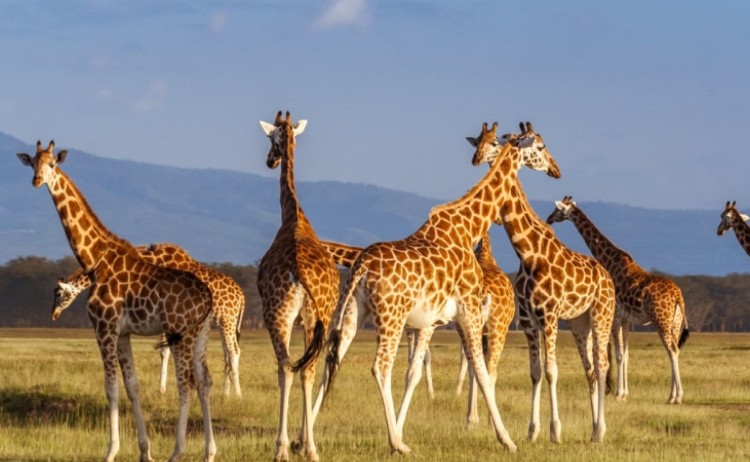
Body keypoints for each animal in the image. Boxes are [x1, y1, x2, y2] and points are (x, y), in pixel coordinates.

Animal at [17, 141, 216, 462]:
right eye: (33, 162)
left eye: (52, 165)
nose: (36, 181)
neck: (94, 259)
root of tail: (208, 298)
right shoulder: (122, 333)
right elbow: (132, 386)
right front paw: (145, 452)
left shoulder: (104, 327)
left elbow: (110, 387)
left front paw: (110, 452)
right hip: (201, 335)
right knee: (204, 381)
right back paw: (210, 452)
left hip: (180, 334)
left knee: (186, 384)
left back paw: (177, 452)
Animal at [52, 242, 246, 397]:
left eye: (59, 293)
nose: (54, 315)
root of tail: (241, 297)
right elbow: (164, 351)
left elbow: (164, 351)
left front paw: (162, 389)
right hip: (221, 322)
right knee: (227, 354)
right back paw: (225, 393)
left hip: (227, 319)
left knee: (234, 351)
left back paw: (237, 394)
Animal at [299, 121, 563, 456]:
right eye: (540, 146)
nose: (555, 169)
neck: (469, 228)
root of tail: (361, 267)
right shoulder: (468, 309)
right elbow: (482, 372)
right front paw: (507, 440)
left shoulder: (429, 321)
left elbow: (415, 373)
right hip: (393, 316)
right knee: (380, 367)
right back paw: (397, 444)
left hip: (352, 313)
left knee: (329, 362)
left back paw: (306, 444)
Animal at [471, 123, 616, 443]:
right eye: (480, 141)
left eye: (540, 145)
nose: (556, 169)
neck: (527, 252)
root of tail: (608, 277)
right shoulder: (529, 320)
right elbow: (536, 372)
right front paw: (532, 431)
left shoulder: (548, 315)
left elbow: (552, 371)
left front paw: (555, 431)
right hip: (579, 322)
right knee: (590, 369)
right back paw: (592, 428)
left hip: (602, 315)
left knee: (601, 365)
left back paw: (601, 430)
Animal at [547, 196, 689, 403]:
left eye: (558, 210)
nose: (548, 219)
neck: (610, 261)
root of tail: (678, 295)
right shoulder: (625, 319)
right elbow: (626, 354)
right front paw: (624, 393)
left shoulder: (615, 317)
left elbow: (619, 354)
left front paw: (619, 394)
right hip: (675, 322)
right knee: (674, 350)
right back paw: (671, 395)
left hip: (661, 320)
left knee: (672, 350)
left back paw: (677, 397)